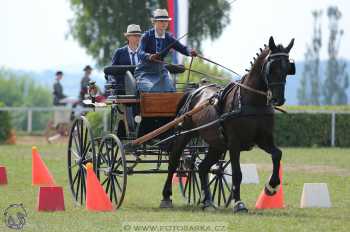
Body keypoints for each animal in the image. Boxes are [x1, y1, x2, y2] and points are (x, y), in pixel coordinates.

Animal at [161, 35, 296, 212]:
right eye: (271, 67)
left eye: (288, 68)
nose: (277, 99)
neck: (251, 101)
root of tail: (194, 91)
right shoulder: (234, 144)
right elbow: (237, 174)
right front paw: (238, 203)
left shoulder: (263, 139)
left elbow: (277, 154)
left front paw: (271, 187)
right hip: (185, 134)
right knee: (174, 161)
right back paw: (166, 197)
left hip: (216, 144)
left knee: (202, 167)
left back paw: (208, 201)